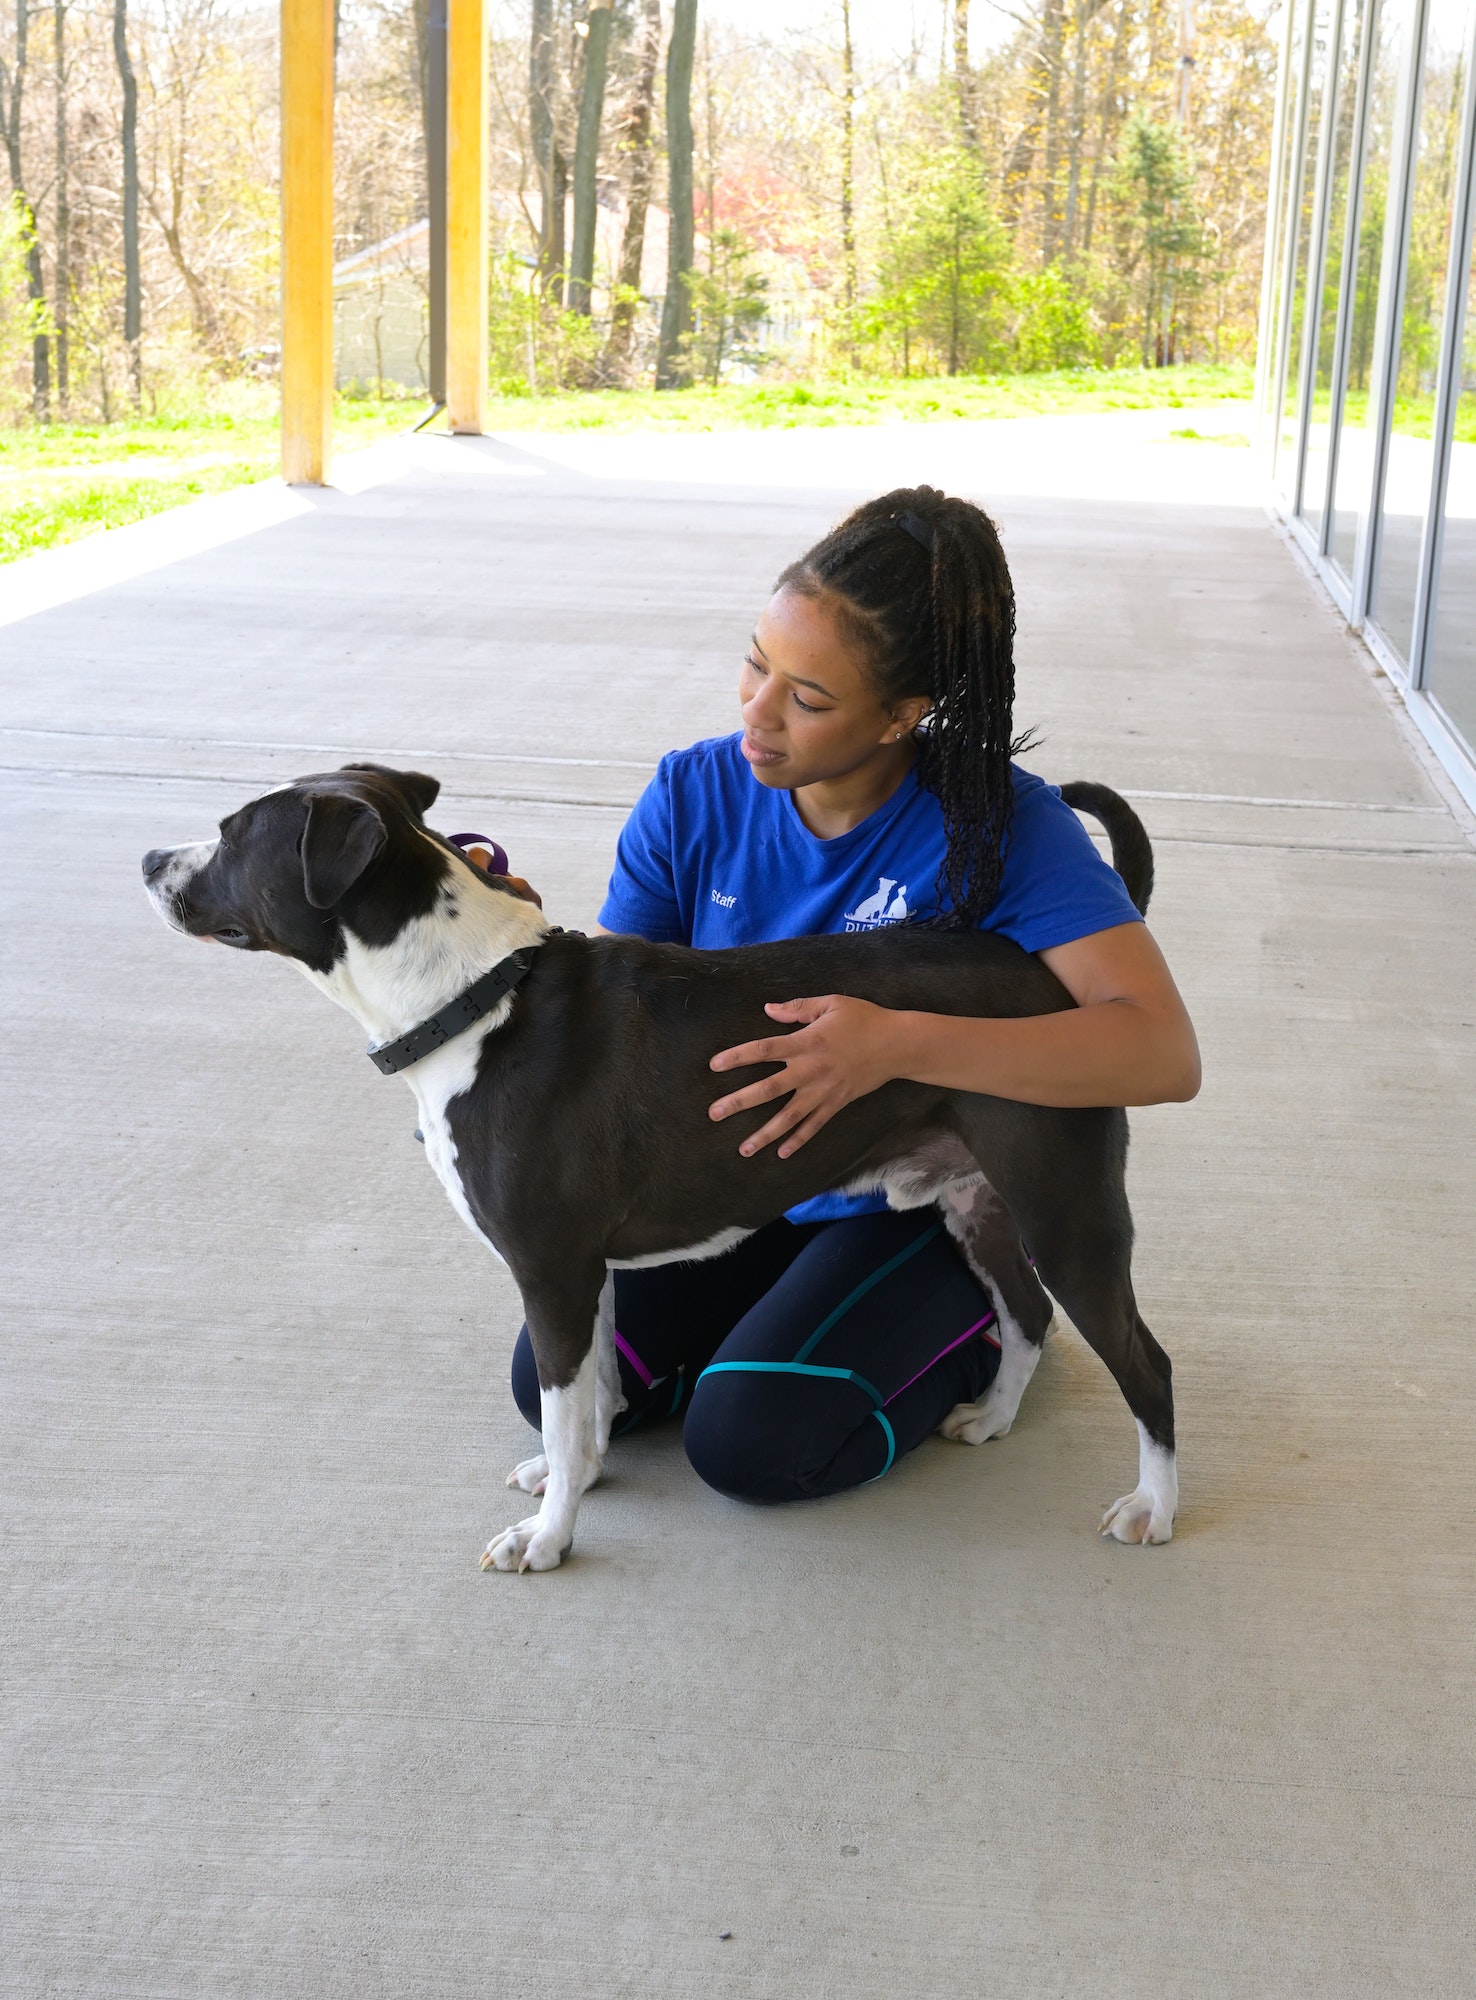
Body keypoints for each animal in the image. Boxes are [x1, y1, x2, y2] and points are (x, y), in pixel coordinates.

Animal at [144, 760, 1176, 1560]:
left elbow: (563, 1409)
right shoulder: (585, 1272)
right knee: (1027, 1315)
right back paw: (995, 1417)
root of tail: (1053, 981)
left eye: (233, 834)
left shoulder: (549, 1271)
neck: (471, 1000)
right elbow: (592, 1400)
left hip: (1066, 1210)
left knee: (1144, 1363)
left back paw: (1154, 1508)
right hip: (978, 1201)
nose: (151, 860)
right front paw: (578, 1481)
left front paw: (550, 1541)